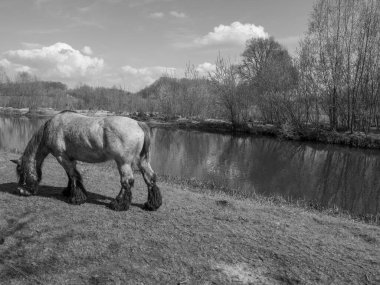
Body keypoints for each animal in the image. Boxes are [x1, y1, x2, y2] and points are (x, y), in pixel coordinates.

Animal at [10, 111, 162, 211]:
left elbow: (73, 176)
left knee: (127, 182)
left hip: (123, 163)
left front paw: (76, 198)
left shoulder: (62, 157)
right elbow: (71, 176)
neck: (51, 127)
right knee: (150, 178)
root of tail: (138, 123)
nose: (20, 190)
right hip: (142, 161)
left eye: (21, 172)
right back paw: (151, 204)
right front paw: (69, 192)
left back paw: (118, 204)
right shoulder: (70, 159)